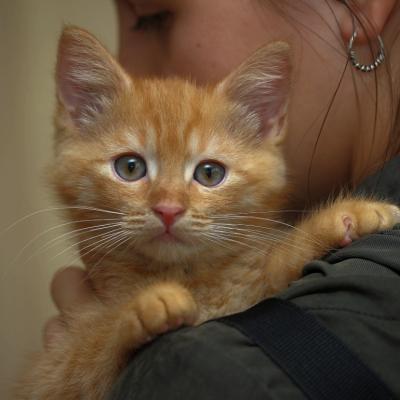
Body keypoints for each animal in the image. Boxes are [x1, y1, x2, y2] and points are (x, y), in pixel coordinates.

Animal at [17, 26, 400, 398]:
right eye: (129, 167)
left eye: (210, 173)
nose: (168, 209)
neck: (191, 279)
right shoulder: (50, 377)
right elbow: (86, 355)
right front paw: (143, 307)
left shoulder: (249, 286)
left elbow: (273, 264)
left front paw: (345, 216)